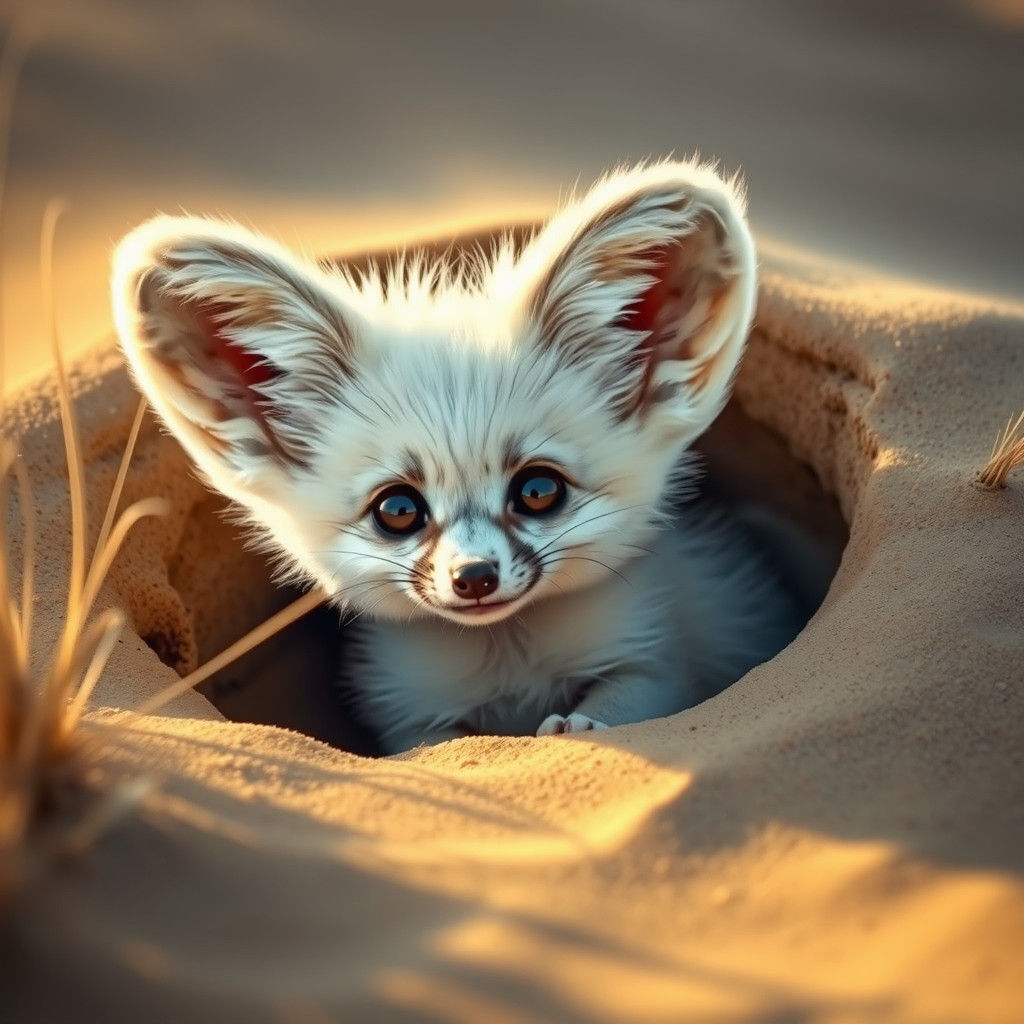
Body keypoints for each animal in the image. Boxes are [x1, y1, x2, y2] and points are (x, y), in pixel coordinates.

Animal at [112, 159, 799, 754]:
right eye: (396, 509)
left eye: (539, 490)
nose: (474, 577)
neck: (509, 665)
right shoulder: (410, 715)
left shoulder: (656, 655)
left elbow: (623, 698)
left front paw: (574, 727)